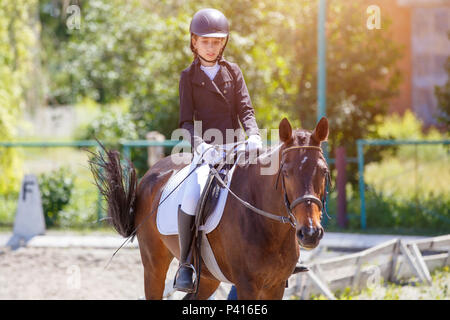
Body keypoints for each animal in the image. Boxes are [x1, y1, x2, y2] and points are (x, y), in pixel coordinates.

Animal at [90, 117, 330, 300]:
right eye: (286, 172)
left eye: (323, 171)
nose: (310, 233)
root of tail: (153, 172)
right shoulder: (247, 285)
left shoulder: (276, 285)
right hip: (153, 266)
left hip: (207, 277)